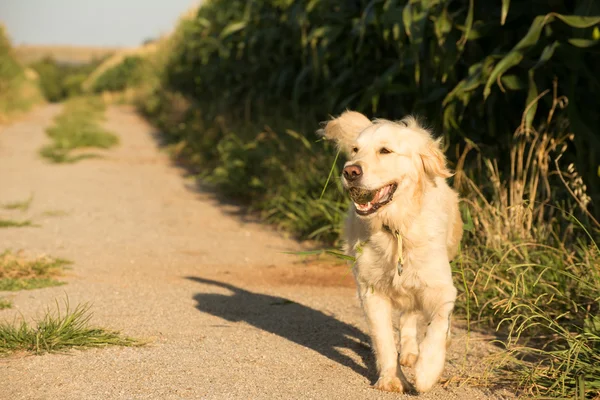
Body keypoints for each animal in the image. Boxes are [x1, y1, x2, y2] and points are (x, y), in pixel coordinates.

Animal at [322, 111, 462, 392]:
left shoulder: (441, 287)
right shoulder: (371, 291)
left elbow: (438, 324)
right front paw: (392, 379)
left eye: (385, 151)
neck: (395, 229)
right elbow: (384, 339)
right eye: (355, 150)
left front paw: (427, 371)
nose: (350, 171)